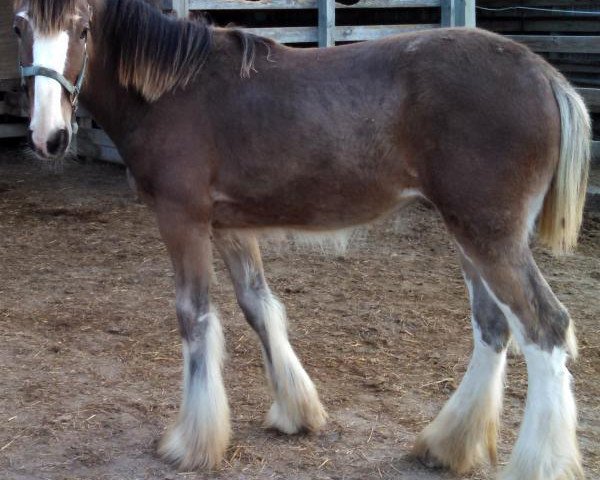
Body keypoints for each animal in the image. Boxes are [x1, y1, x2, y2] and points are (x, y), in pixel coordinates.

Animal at [11, 1, 588, 478]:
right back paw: (448, 445)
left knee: (544, 328)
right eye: (19, 28)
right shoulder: (231, 226)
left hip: (490, 236)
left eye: (83, 28)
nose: (49, 136)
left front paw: (192, 443)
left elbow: (194, 317)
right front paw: (297, 413)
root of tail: (544, 74)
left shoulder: (183, 220)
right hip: (470, 235)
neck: (173, 92)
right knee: (494, 326)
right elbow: (259, 307)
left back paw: (538, 464)